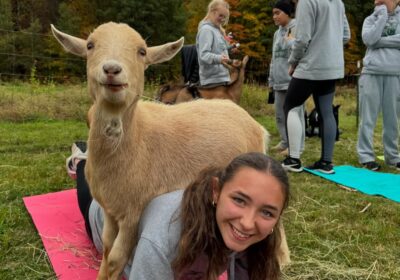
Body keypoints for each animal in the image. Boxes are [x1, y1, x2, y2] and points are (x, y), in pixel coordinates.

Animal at [51, 22, 290, 280]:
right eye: (90, 45)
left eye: (142, 51)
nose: (112, 69)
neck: (137, 138)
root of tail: (254, 124)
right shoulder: (110, 209)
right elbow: (106, 248)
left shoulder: (134, 211)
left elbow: (116, 258)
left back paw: (283, 256)